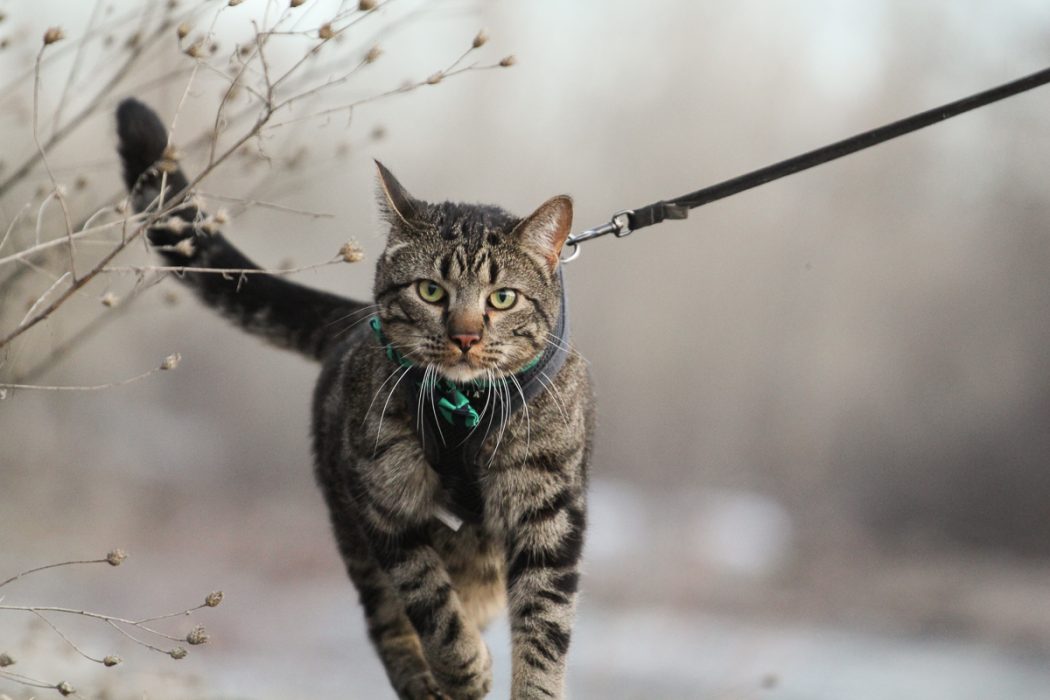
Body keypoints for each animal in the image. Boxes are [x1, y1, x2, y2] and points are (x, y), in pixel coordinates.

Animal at [117, 99, 592, 700]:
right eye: (430, 291)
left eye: (502, 298)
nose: (465, 335)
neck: (465, 407)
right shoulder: (387, 503)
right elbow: (432, 606)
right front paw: (464, 667)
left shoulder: (548, 514)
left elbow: (544, 629)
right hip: (353, 530)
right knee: (387, 620)